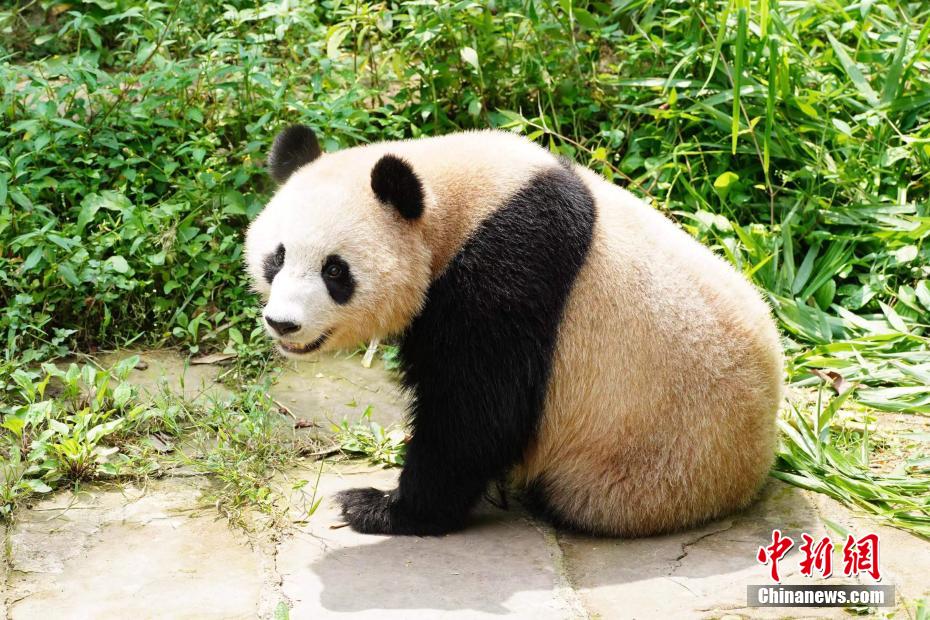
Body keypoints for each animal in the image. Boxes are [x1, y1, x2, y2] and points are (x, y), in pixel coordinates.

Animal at [244, 125, 784, 537]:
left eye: (335, 271)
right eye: (278, 256)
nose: (283, 322)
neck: (457, 201)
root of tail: (754, 468)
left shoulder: (509, 269)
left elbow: (477, 411)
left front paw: (380, 507)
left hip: (650, 462)